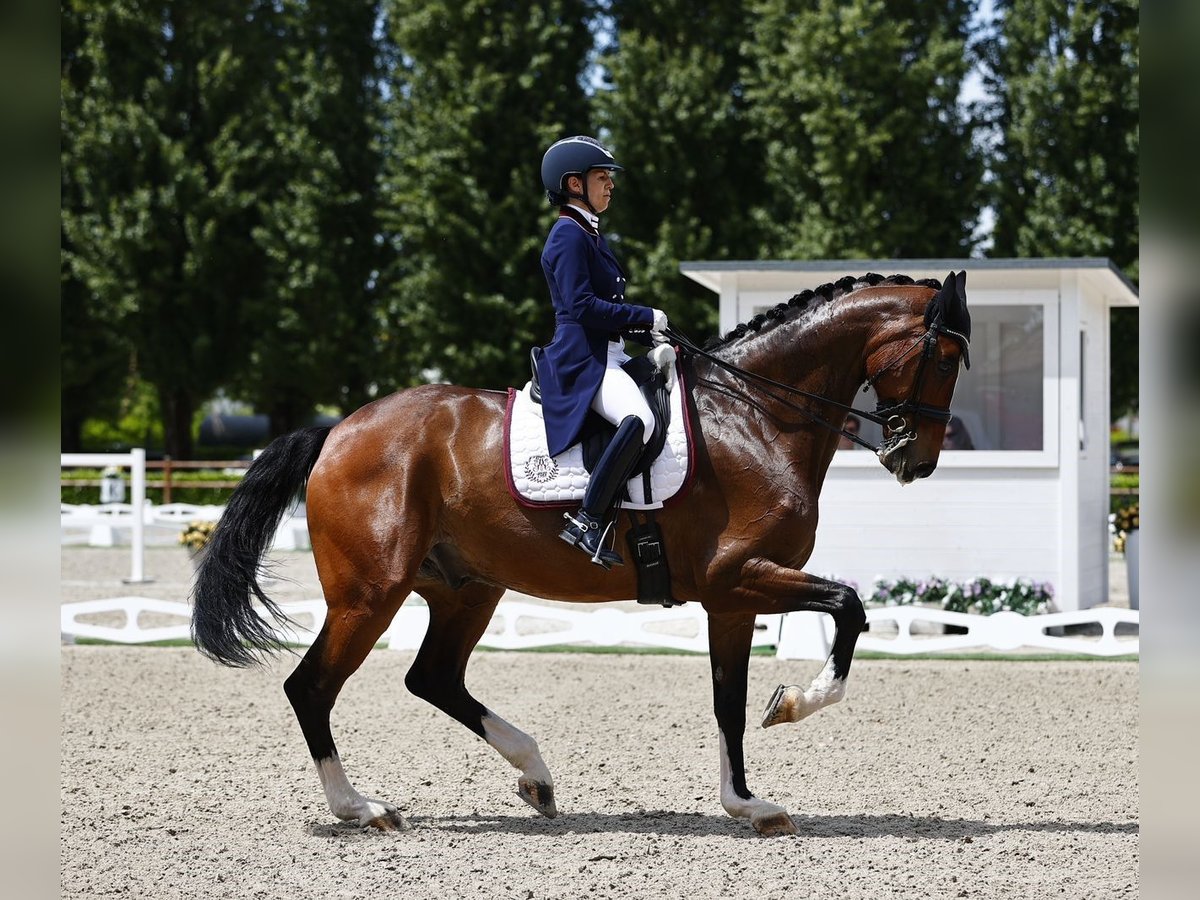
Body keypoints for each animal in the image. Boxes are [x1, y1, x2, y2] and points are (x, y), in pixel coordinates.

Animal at [189, 267, 974, 840]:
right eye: (944, 356)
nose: (918, 461)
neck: (756, 419)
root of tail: (338, 431)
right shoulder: (740, 577)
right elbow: (849, 607)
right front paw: (794, 704)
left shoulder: (730, 598)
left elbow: (728, 701)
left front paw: (747, 803)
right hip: (370, 593)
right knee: (312, 687)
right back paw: (361, 808)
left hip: (466, 588)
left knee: (433, 677)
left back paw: (535, 775)